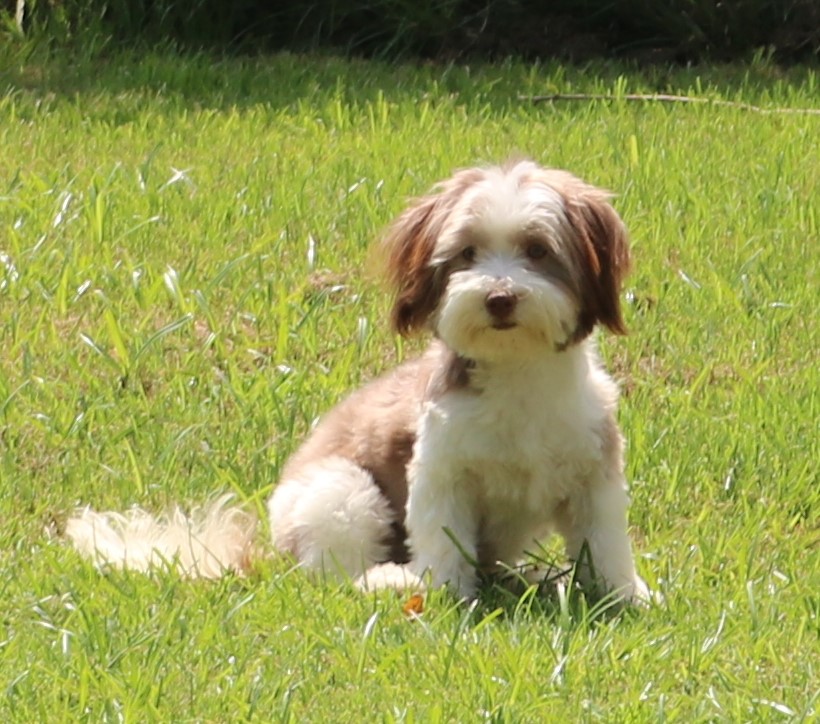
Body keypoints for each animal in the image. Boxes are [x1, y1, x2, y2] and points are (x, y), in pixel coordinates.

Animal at [67, 161, 652, 604]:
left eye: (537, 250)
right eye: (467, 253)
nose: (499, 297)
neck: (518, 374)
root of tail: (268, 550)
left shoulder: (595, 467)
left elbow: (604, 541)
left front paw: (624, 594)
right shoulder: (440, 470)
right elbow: (441, 537)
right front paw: (444, 594)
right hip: (342, 490)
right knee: (336, 573)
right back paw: (390, 580)